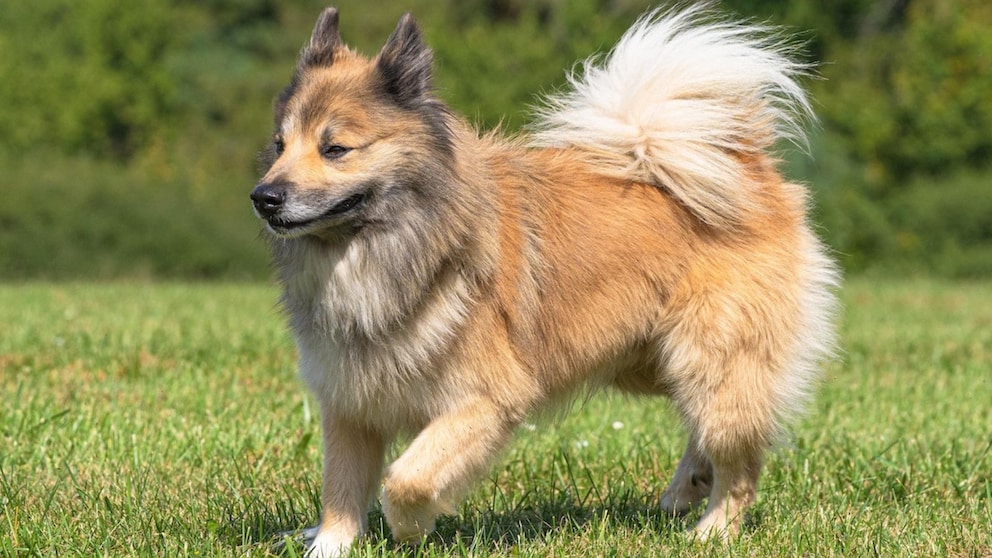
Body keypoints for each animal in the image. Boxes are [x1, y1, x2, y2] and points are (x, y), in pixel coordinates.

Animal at [250, 3, 836, 556]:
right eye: (279, 145)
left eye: (335, 149)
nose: (264, 197)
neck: (386, 246)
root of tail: (748, 168)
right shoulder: (351, 402)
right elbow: (342, 488)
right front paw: (328, 544)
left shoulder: (486, 399)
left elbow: (407, 479)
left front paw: (411, 528)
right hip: (649, 359)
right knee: (709, 428)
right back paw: (685, 488)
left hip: (710, 355)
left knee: (739, 454)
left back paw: (713, 529)